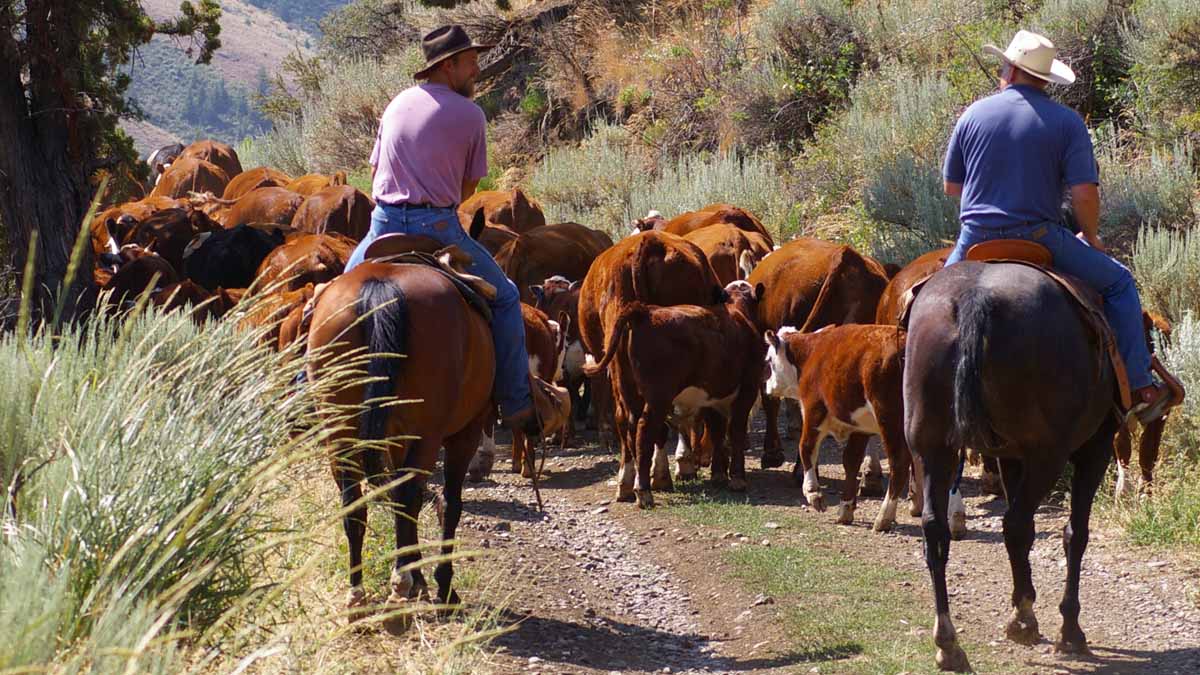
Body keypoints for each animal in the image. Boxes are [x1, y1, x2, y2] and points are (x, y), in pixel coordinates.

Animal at [585, 277, 763, 504]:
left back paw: (626, 486)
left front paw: (719, 474)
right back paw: (643, 491)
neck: (739, 315)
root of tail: (644, 312)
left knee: (627, 427)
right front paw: (737, 478)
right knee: (644, 430)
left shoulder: (713, 397)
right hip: (658, 397)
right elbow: (736, 431)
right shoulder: (747, 389)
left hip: (626, 391)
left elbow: (717, 430)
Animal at [763, 321, 921, 530]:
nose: (767, 386)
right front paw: (846, 507)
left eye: (769, 361)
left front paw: (813, 493)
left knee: (899, 462)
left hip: (890, 419)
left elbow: (806, 448)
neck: (811, 353)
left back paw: (883, 518)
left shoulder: (814, 410)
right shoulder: (860, 426)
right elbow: (851, 461)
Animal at [907, 258, 1123, 667]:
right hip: (1048, 455)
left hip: (930, 448)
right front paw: (1069, 629)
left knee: (937, 531)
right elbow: (1075, 534)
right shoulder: (1095, 448)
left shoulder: (1009, 455)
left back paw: (948, 643)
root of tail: (975, 298)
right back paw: (1025, 621)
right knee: (1018, 524)